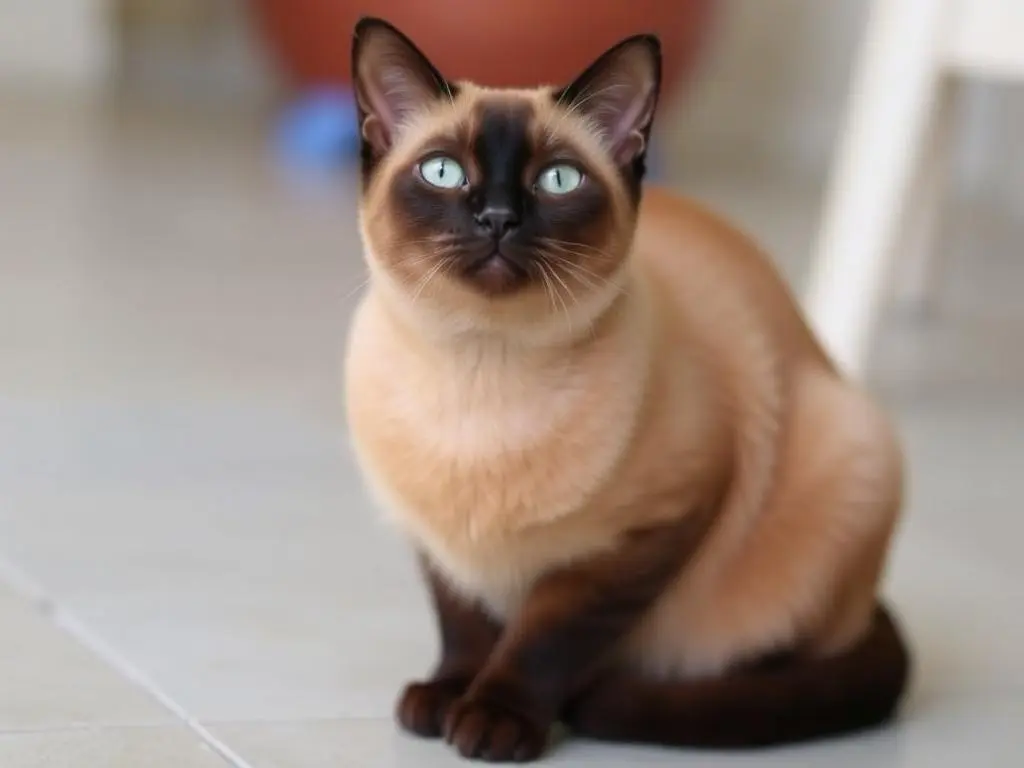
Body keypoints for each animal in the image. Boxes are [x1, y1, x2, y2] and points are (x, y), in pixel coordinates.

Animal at [346, 16, 913, 765]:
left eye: (557, 180)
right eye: (443, 171)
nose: (497, 217)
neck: (480, 369)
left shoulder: (646, 536)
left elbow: (544, 640)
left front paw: (495, 718)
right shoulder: (438, 540)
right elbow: (465, 625)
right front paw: (445, 697)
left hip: (851, 445)